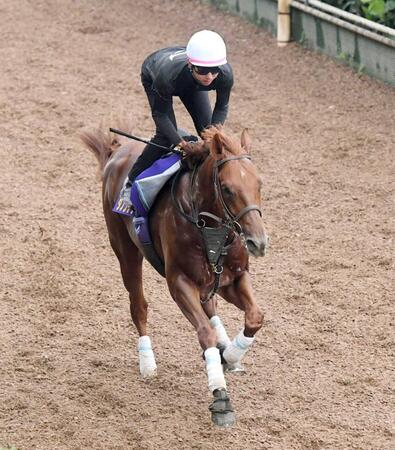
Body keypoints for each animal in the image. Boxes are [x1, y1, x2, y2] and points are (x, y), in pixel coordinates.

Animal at [82, 125, 270, 428]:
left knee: (210, 306)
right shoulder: (180, 282)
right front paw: (220, 396)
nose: (258, 242)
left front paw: (230, 355)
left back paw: (224, 346)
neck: (209, 226)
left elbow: (254, 316)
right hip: (125, 251)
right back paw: (147, 362)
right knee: (138, 306)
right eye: (227, 189)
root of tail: (117, 152)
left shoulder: (234, 277)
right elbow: (203, 332)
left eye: (259, 184)